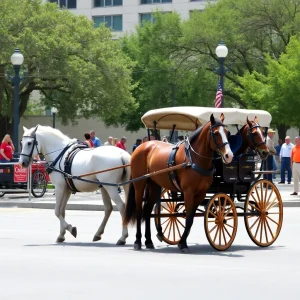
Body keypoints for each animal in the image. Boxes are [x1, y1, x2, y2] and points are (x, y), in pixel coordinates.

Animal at [123, 113, 233, 252]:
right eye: (216, 133)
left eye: (227, 133)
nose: (229, 155)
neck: (194, 158)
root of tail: (142, 146)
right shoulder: (188, 192)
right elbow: (188, 218)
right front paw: (183, 243)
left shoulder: (200, 193)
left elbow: (190, 218)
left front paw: (182, 241)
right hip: (140, 184)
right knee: (139, 211)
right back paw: (138, 241)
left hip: (154, 186)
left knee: (147, 210)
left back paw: (148, 241)